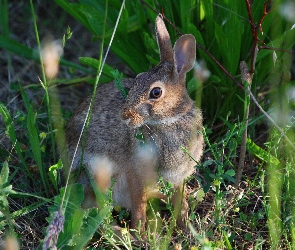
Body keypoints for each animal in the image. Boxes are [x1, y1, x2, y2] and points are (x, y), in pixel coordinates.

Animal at [64, 14, 204, 234]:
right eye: (137, 79)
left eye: (156, 92)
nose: (125, 116)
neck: (170, 119)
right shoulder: (135, 173)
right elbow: (139, 205)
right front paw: (140, 232)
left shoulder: (178, 177)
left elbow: (178, 201)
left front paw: (186, 226)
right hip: (97, 175)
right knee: (92, 211)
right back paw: (119, 232)